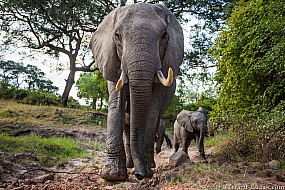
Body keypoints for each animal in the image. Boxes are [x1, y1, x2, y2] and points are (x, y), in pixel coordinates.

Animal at [89, 2, 183, 181]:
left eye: (164, 35)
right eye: (117, 35)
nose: (140, 175)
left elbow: (152, 110)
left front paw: (146, 172)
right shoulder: (112, 60)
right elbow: (115, 104)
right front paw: (112, 176)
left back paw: (148, 165)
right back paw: (129, 165)